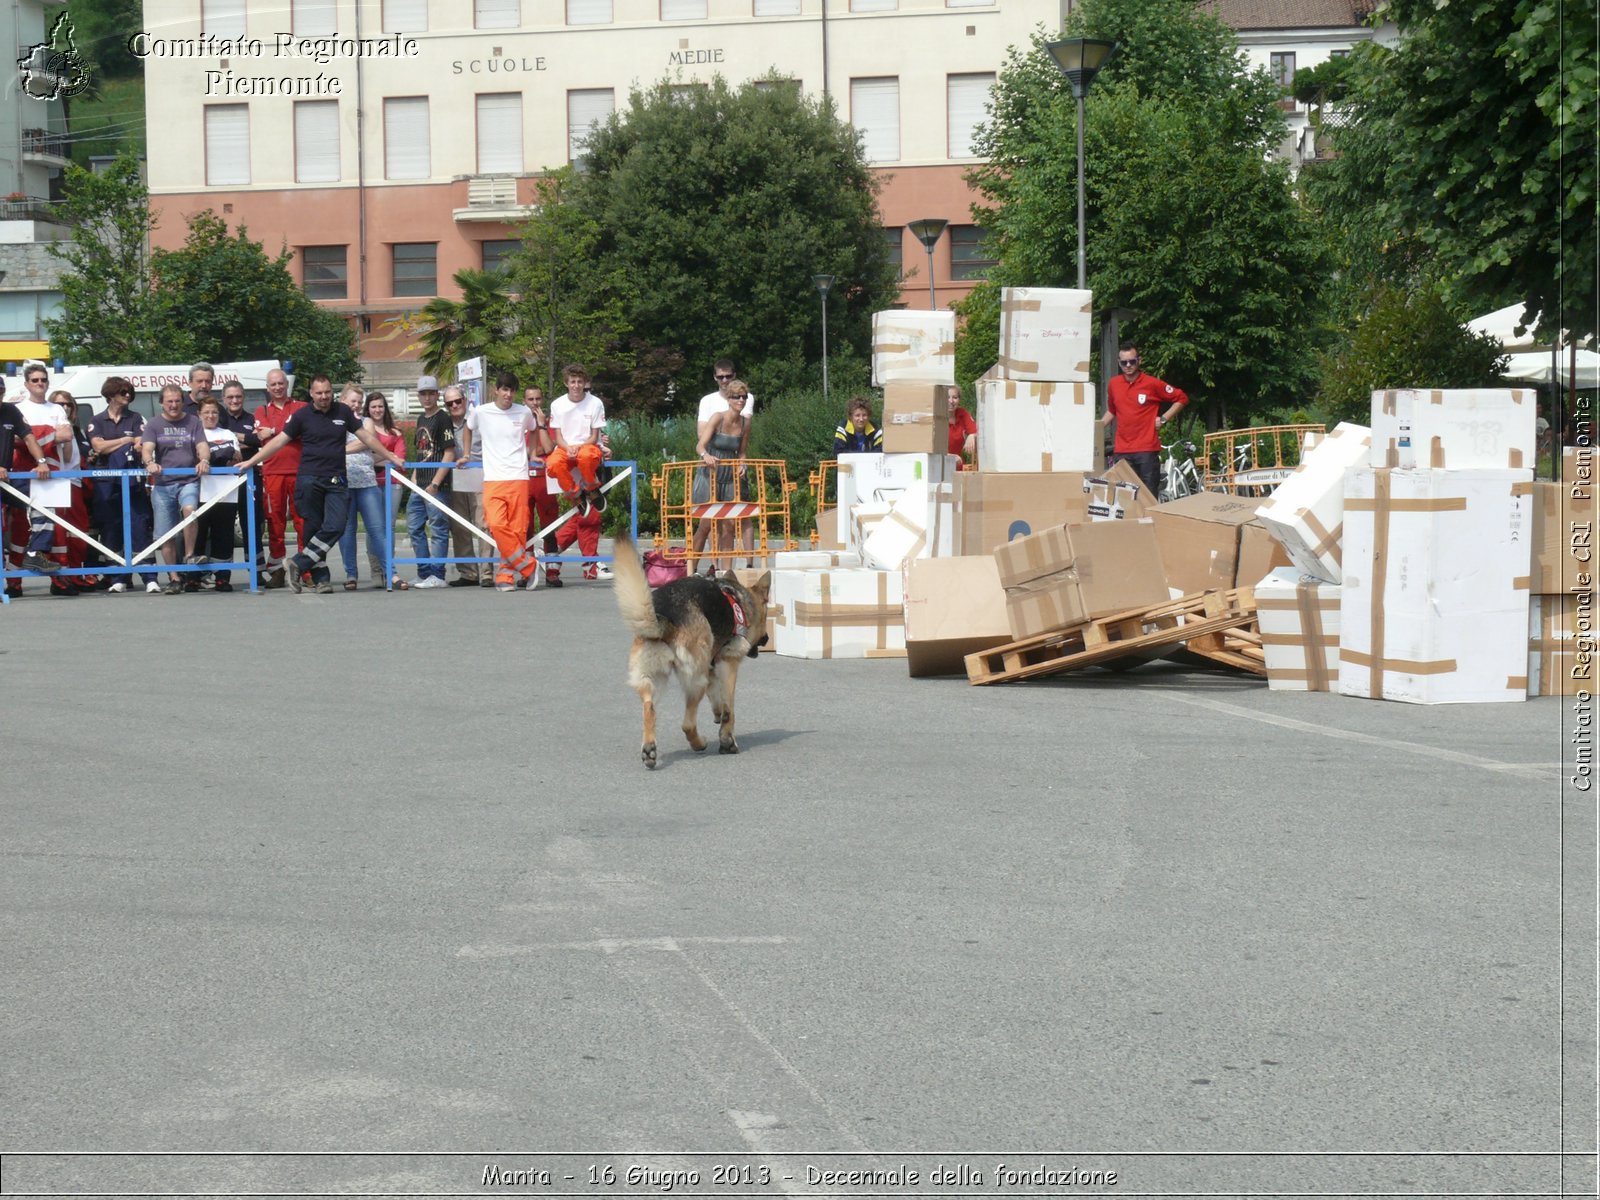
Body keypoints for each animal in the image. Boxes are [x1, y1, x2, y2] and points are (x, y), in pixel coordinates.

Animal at [608, 534, 771, 771]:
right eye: (766, 617)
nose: (767, 639)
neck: (739, 600)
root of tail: (664, 617)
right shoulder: (728, 665)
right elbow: (729, 710)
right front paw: (727, 742)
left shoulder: (712, 669)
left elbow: (718, 701)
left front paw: (717, 716)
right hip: (696, 681)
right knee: (686, 723)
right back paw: (698, 743)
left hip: (652, 678)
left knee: (649, 709)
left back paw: (649, 750)